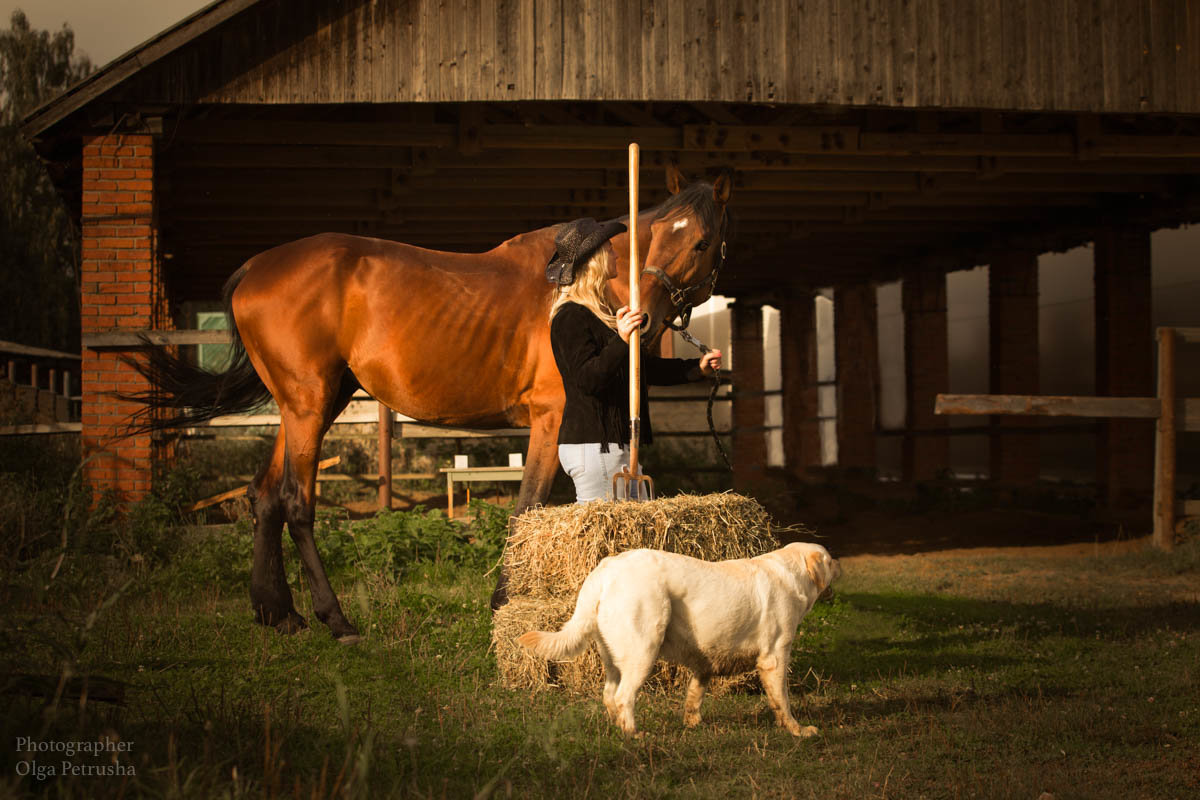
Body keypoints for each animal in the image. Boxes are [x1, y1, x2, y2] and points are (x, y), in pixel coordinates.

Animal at [129, 165, 729, 642]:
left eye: (700, 242)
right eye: (666, 241)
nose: (647, 320)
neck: (579, 290)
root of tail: (254, 268)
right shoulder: (550, 419)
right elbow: (526, 507)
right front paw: (502, 604)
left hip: (309, 404)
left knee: (264, 496)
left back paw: (278, 612)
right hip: (308, 406)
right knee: (296, 503)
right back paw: (336, 620)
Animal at [518, 542, 844, 734]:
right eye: (829, 560)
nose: (841, 563)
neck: (791, 574)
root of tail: (608, 567)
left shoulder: (705, 661)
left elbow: (694, 695)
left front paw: (692, 723)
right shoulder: (774, 657)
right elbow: (782, 701)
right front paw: (798, 731)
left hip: (613, 657)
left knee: (610, 695)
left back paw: (619, 729)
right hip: (643, 649)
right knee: (624, 696)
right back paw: (634, 734)